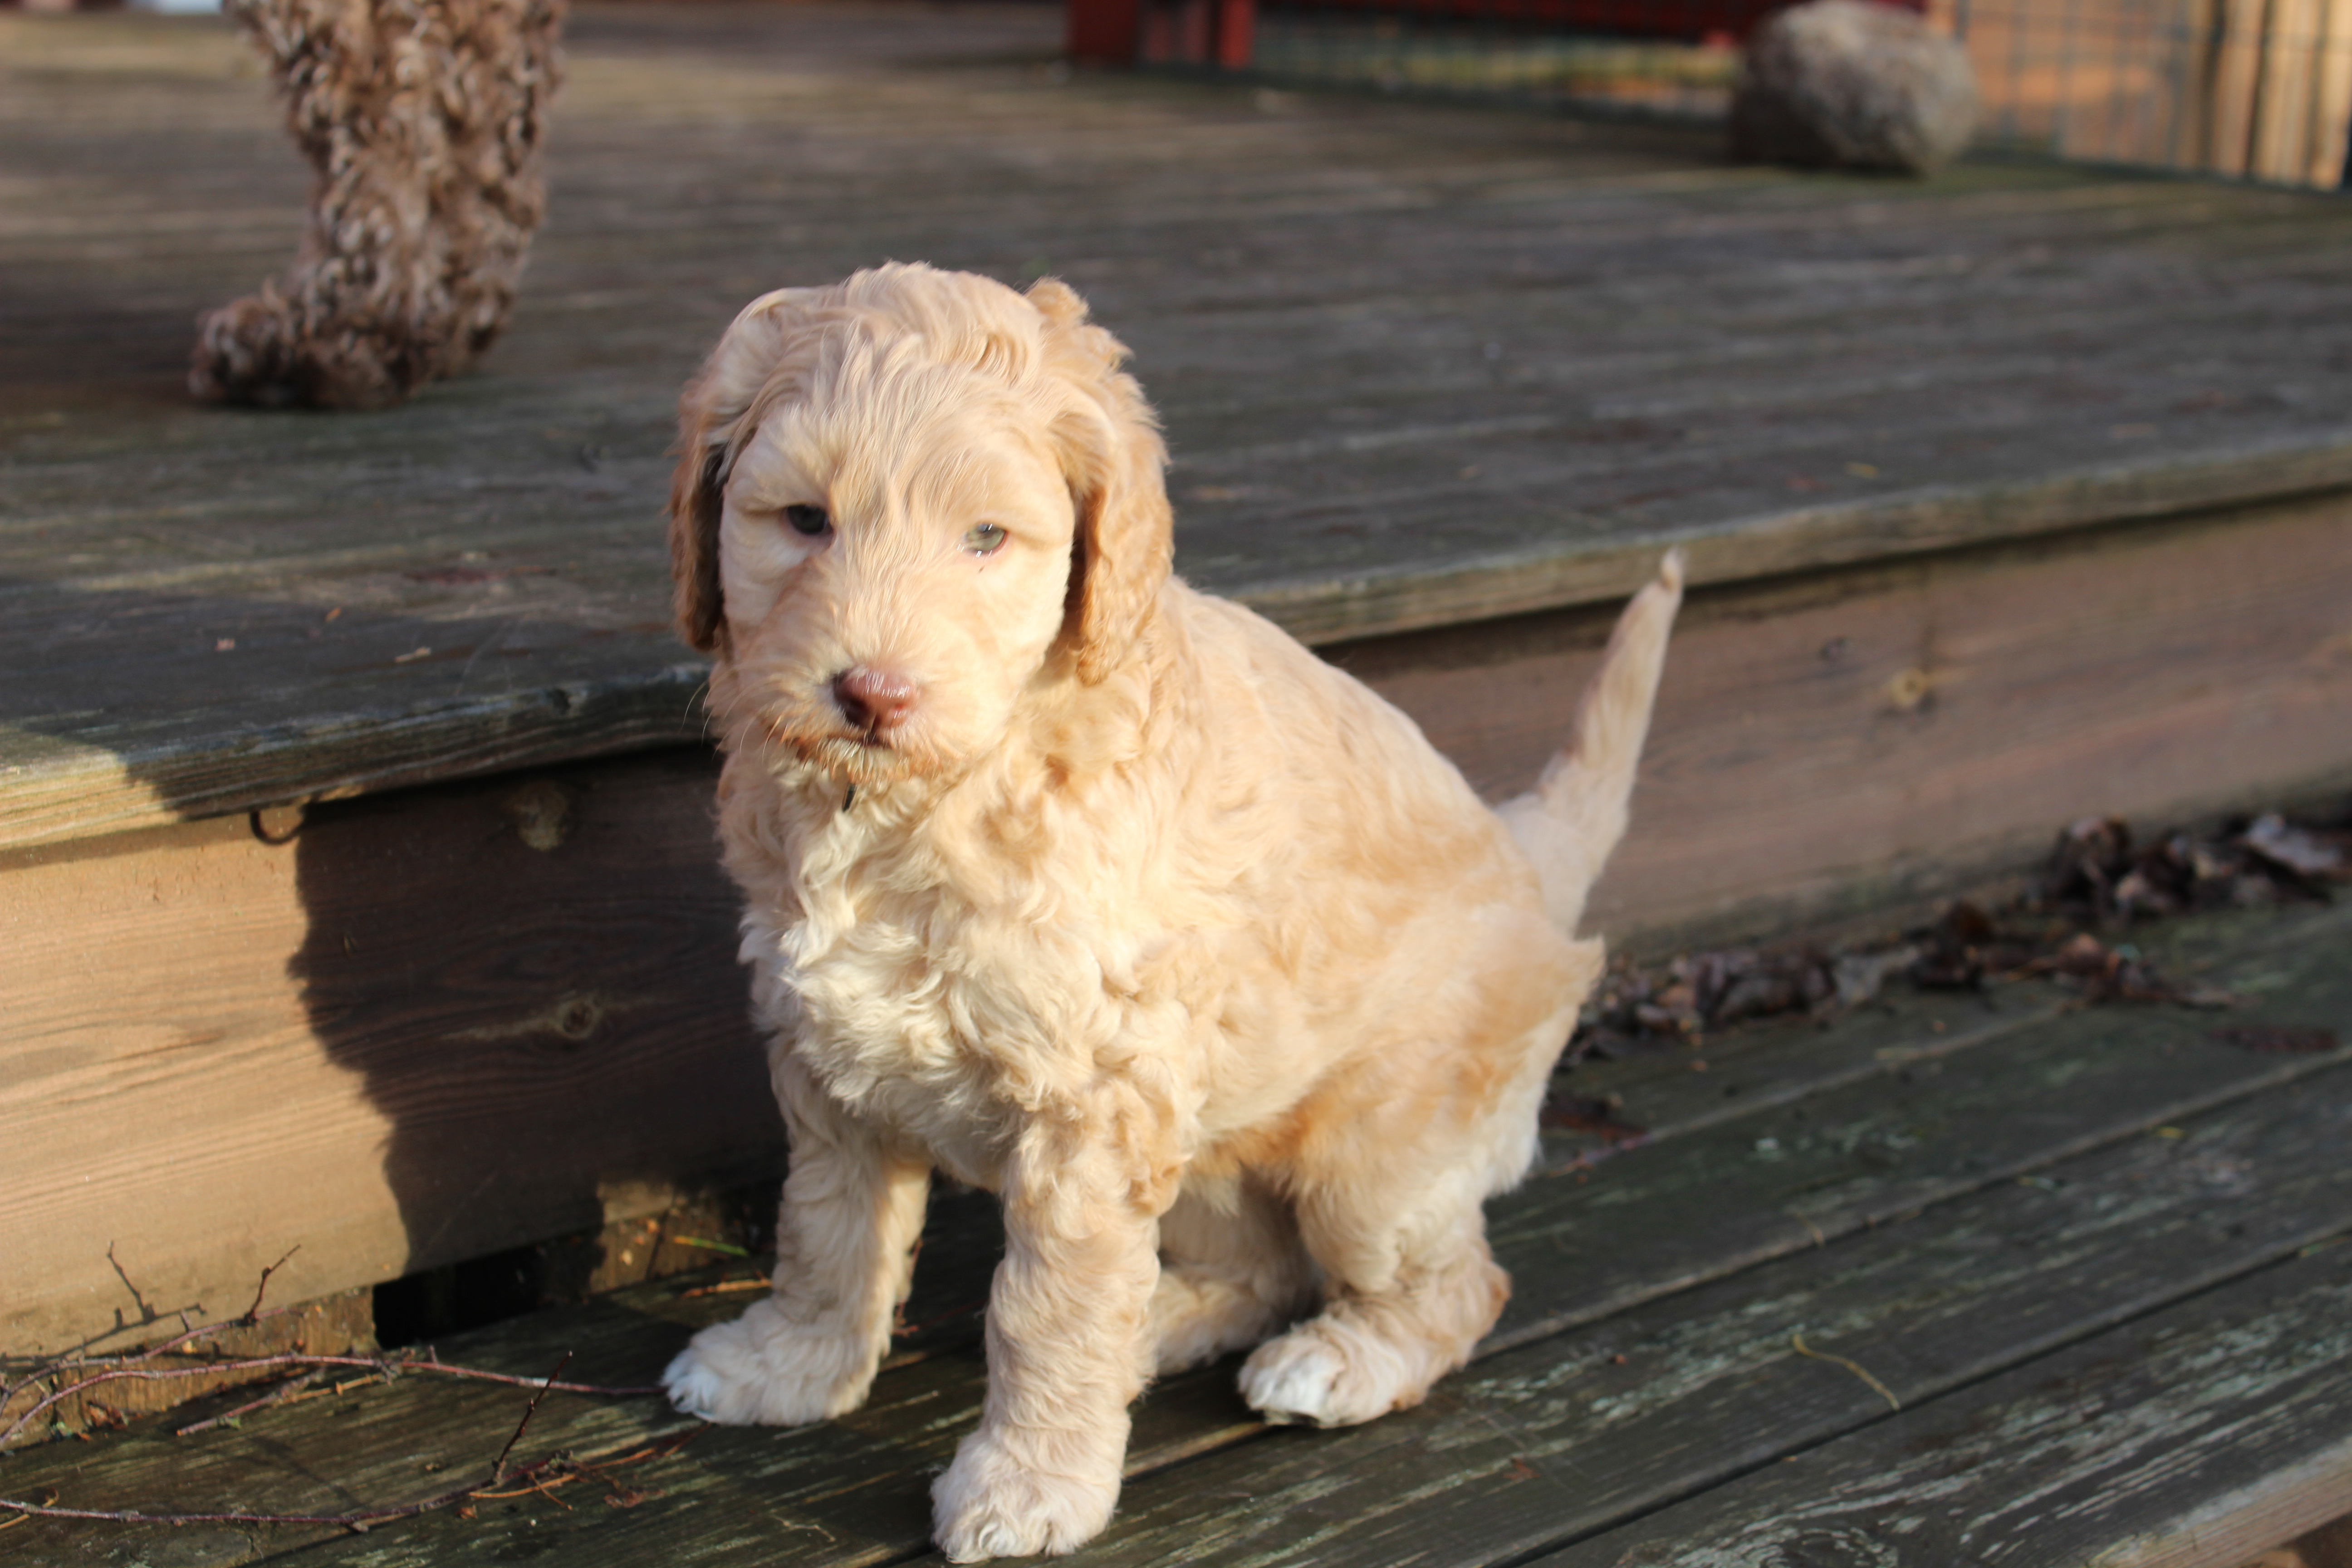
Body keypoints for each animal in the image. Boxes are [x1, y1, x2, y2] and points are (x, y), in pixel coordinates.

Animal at [658, 263, 1682, 1561]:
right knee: (1258, 1264)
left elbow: (1048, 1305)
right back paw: (1163, 1321)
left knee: (1452, 1280)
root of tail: (1528, 858)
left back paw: (1339, 1360)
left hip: (1375, 1156)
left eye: (986, 538)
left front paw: (1029, 1483)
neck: (926, 801)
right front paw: (790, 1366)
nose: (871, 694)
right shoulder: (829, 1055)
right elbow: (827, 1231)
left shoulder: (1091, 1103)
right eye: (803, 520)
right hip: (1210, 1141)